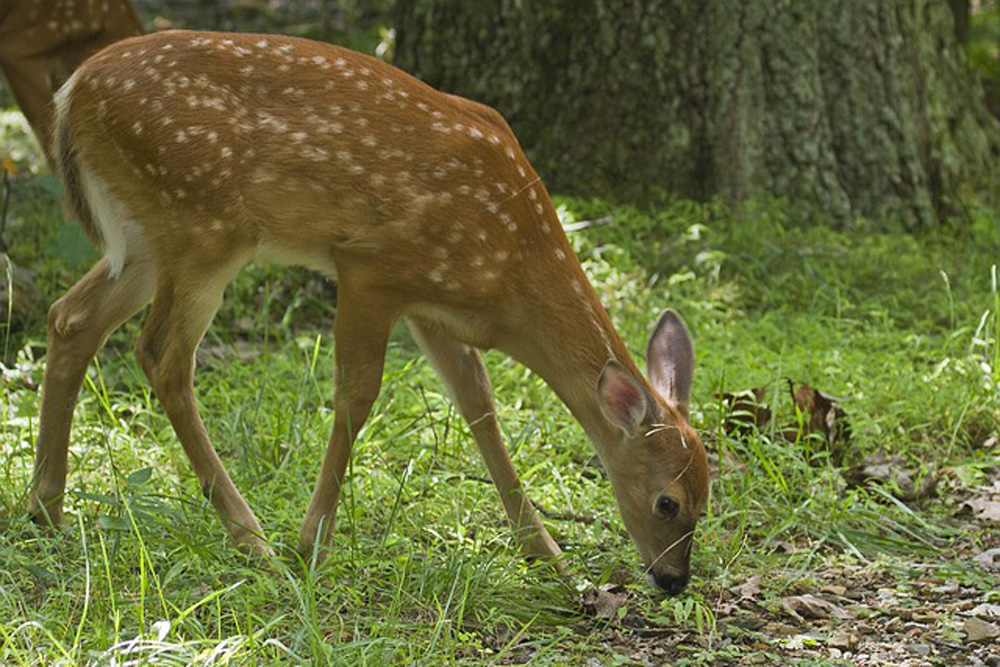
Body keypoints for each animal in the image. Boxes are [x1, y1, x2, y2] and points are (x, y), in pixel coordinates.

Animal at [33, 30, 712, 596]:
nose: (674, 580)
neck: (511, 270)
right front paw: (313, 543)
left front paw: (549, 557)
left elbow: (479, 406)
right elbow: (357, 397)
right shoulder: (370, 268)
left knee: (70, 318)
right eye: (669, 503)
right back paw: (252, 540)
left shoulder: (434, 308)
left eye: (709, 496)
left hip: (146, 237)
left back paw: (45, 507)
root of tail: (70, 91)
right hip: (202, 224)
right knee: (161, 355)